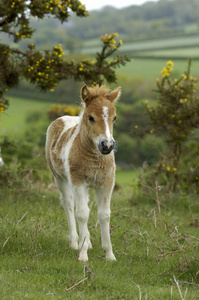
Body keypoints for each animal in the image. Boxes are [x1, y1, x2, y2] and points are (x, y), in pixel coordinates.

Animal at [45, 83, 120, 262]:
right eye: (91, 117)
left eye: (114, 118)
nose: (107, 145)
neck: (95, 158)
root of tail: (63, 117)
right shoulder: (78, 181)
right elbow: (82, 214)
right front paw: (83, 254)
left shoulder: (107, 182)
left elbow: (104, 214)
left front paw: (109, 255)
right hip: (60, 178)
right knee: (68, 204)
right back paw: (75, 242)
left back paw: (88, 242)